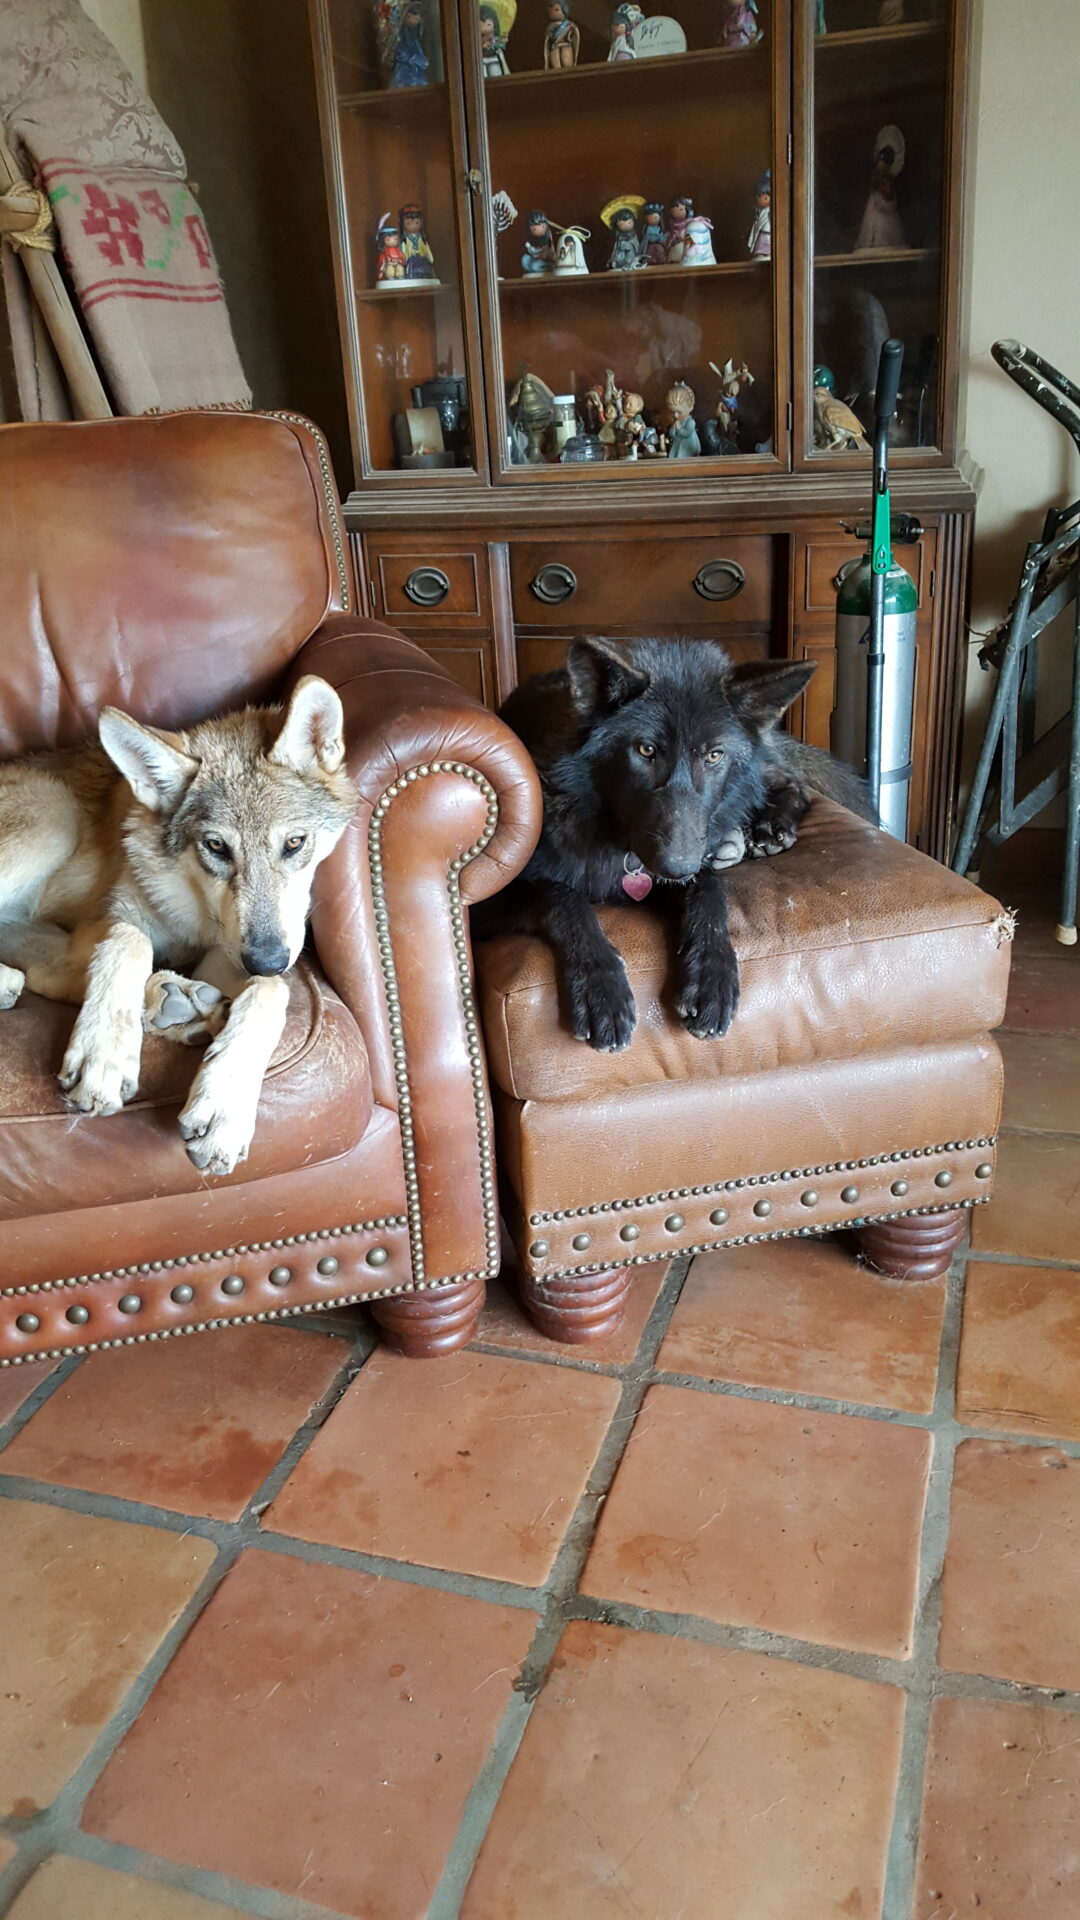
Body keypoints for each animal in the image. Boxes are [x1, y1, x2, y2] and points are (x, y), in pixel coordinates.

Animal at [0, 683, 357, 1175]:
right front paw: (104, 1053)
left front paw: (225, 1103)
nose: (267, 960)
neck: (196, 910)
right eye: (216, 847)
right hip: (54, 821)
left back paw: (178, 1003)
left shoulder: (228, 954)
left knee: (40, 970)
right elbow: (129, 939)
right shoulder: (103, 921)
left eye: (295, 843)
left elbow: (273, 992)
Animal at [488, 633, 876, 1052]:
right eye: (645, 750)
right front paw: (600, 987)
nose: (676, 867)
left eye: (714, 755)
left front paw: (712, 976)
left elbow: (709, 891)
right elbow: (562, 896)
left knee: (788, 782)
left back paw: (768, 828)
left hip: (752, 779)